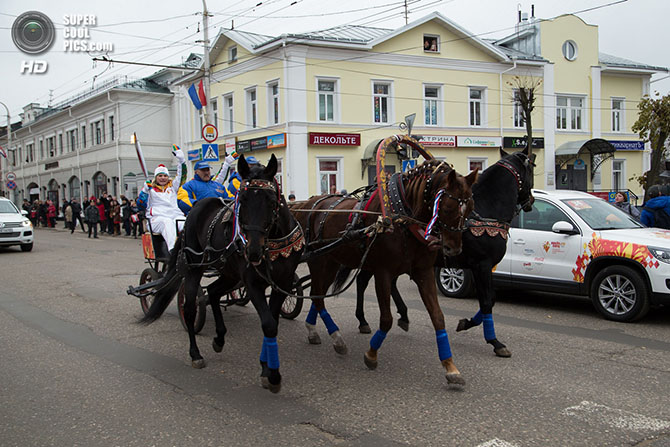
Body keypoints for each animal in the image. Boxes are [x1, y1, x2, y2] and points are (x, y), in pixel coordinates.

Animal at [140, 156, 304, 394]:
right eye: (242, 200)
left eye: (271, 199)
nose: (253, 251)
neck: (272, 243)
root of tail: (193, 213)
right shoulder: (253, 283)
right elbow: (268, 324)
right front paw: (272, 374)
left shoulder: (282, 282)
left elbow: (272, 322)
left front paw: (265, 366)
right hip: (194, 269)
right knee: (191, 307)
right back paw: (195, 354)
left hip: (229, 273)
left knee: (214, 293)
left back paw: (219, 337)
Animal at [292, 158, 478, 384]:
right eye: (448, 207)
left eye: (470, 208)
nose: (454, 249)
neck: (401, 219)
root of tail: (308, 203)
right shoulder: (383, 272)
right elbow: (386, 319)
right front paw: (371, 354)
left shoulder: (423, 272)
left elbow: (437, 316)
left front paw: (450, 366)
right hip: (317, 260)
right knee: (317, 298)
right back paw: (337, 338)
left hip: (332, 262)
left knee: (316, 295)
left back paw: (313, 330)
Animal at [356, 149, 536, 358]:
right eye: (532, 169)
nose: (530, 201)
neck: (486, 212)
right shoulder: (481, 265)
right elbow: (486, 301)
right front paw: (494, 341)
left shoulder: (485, 267)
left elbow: (491, 298)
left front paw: (466, 323)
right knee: (362, 282)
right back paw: (363, 320)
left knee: (384, 283)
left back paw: (401, 315)